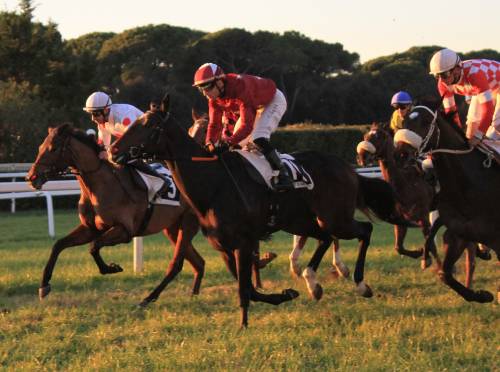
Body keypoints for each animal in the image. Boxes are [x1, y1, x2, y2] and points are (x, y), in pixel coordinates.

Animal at [24, 125, 205, 306]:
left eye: (53, 149)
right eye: (40, 147)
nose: (31, 177)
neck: (101, 185)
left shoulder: (125, 231)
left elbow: (94, 246)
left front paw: (111, 268)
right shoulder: (90, 228)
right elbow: (59, 245)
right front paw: (44, 285)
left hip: (188, 222)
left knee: (177, 264)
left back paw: (148, 299)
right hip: (173, 228)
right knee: (198, 262)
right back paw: (193, 296)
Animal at [394, 102, 500, 302]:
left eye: (425, 122)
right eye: (403, 121)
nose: (401, 154)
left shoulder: (496, 238)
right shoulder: (459, 235)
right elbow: (444, 274)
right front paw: (482, 295)